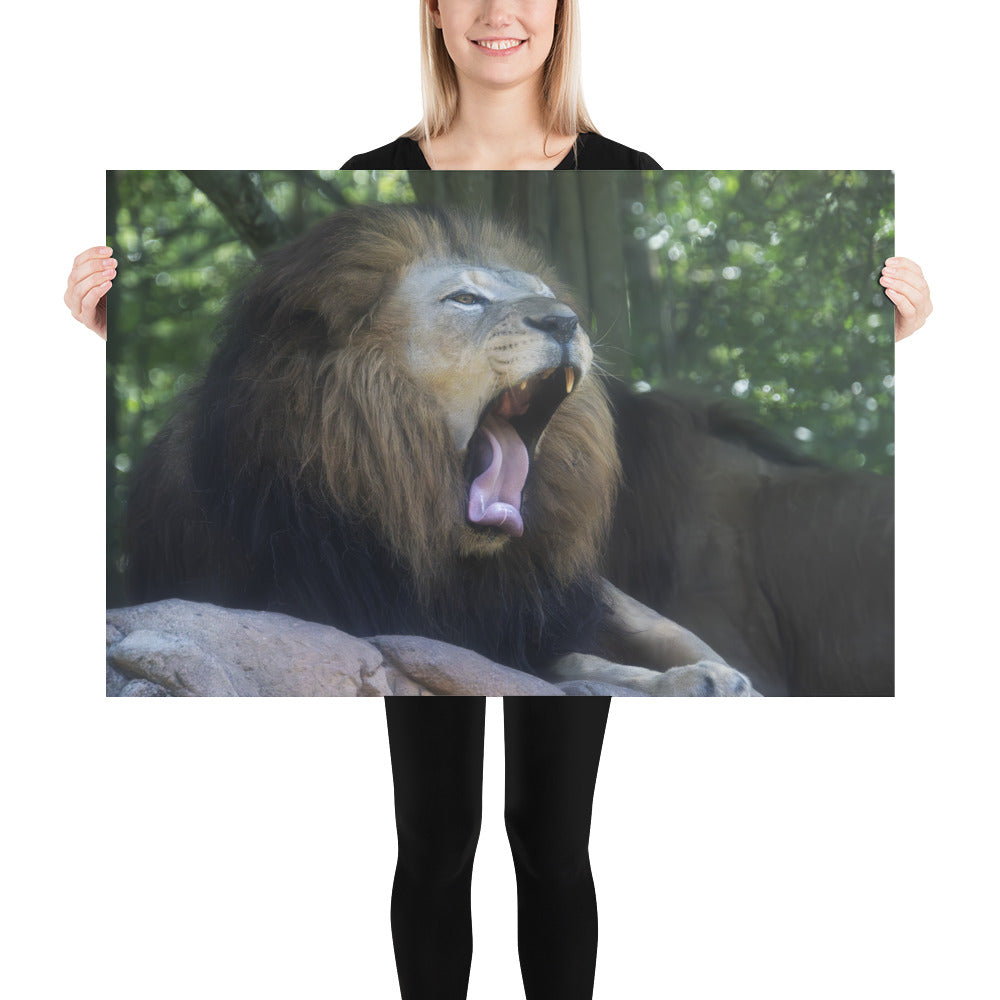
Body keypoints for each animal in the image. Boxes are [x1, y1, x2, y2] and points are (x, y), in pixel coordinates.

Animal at [125, 205, 755, 696]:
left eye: (546, 298)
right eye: (465, 299)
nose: (564, 321)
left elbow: (586, 658)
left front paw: (701, 677)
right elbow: (573, 666)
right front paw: (690, 681)